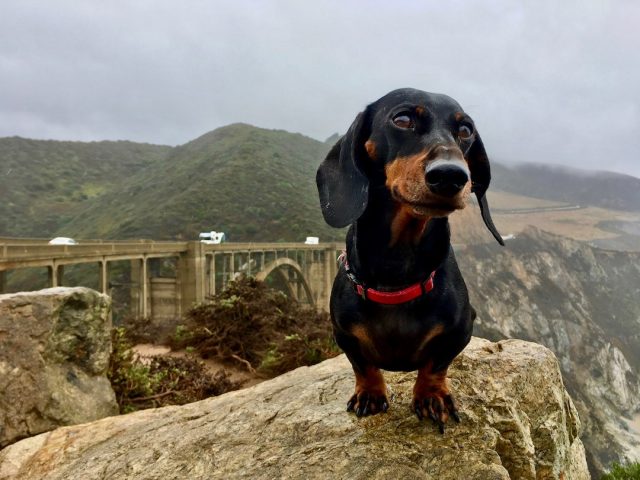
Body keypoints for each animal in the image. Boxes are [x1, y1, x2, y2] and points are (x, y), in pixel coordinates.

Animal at [318, 89, 502, 432]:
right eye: (402, 119)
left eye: (466, 130)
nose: (451, 176)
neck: (397, 269)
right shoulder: (343, 333)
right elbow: (362, 365)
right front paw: (370, 394)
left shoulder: (460, 330)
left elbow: (436, 364)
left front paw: (431, 396)